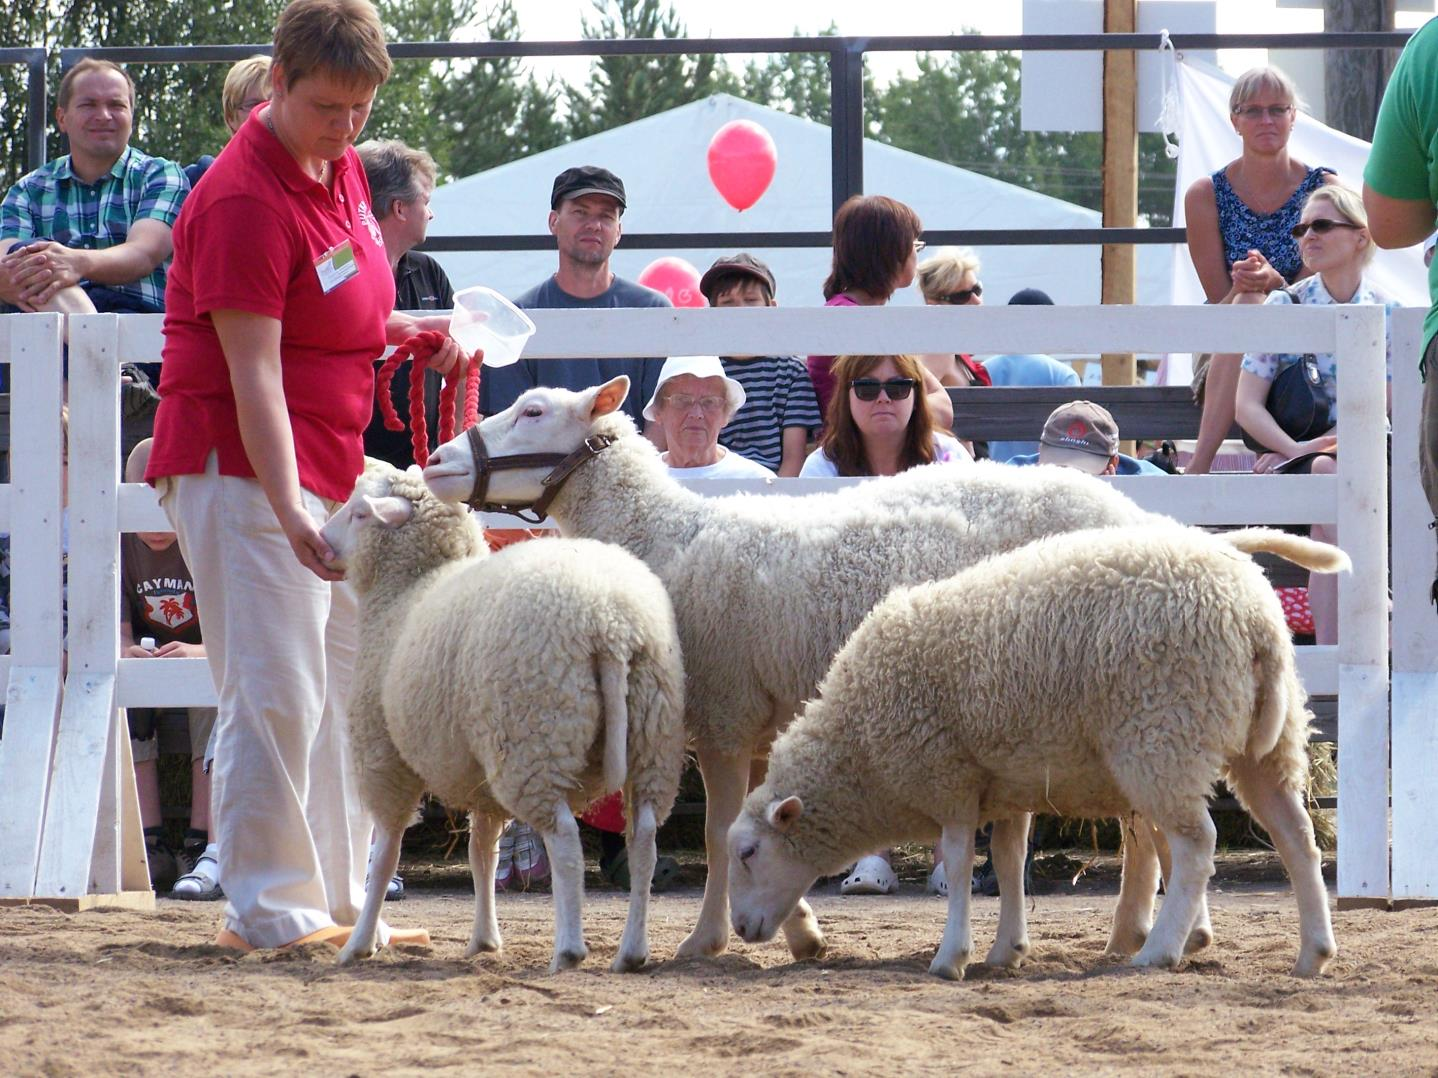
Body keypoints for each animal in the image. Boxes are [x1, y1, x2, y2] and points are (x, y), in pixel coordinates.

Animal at [319, 465, 684, 977]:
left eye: (358, 512)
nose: (320, 541)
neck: (409, 589)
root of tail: (611, 622)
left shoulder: (385, 757)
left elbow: (386, 856)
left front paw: (360, 943)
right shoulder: (480, 779)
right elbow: (482, 856)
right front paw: (484, 940)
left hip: (535, 739)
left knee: (566, 842)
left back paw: (569, 949)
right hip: (652, 737)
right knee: (645, 840)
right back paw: (631, 951)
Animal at [419, 376, 1179, 960]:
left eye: (533, 411)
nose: (436, 460)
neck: (664, 536)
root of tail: (1140, 518)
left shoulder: (723, 714)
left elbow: (716, 831)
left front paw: (708, 940)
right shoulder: (755, 722)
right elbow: (750, 822)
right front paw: (799, 930)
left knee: (1143, 820)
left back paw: (1139, 931)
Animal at [730, 528, 1345, 983]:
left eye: (748, 852)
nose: (740, 930)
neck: (859, 744)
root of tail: (1254, 614)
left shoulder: (947, 776)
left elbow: (959, 864)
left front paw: (951, 956)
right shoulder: (1004, 784)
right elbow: (1007, 861)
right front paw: (1007, 949)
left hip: (1161, 735)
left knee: (1197, 845)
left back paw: (1160, 950)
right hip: (1264, 745)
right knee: (1297, 838)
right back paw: (1313, 953)